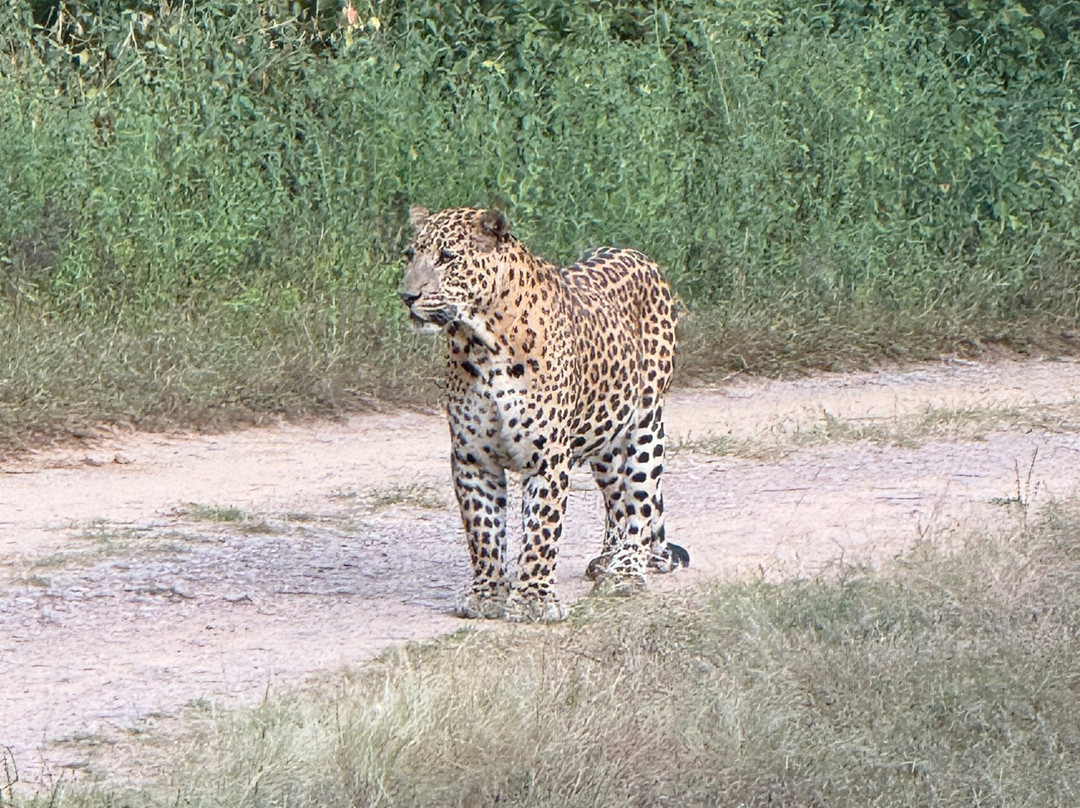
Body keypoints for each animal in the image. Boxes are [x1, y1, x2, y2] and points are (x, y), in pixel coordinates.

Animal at [399, 205, 688, 622]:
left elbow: (542, 528)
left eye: (447, 257)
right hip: (604, 437)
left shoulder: (547, 456)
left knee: (639, 500)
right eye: (410, 255)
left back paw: (626, 569)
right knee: (615, 498)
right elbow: (483, 529)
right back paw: (606, 557)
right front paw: (487, 594)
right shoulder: (472, 457)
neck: (480, 341)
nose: (407, 296)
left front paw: (533, 599)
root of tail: (636, 253)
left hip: (644, 426)